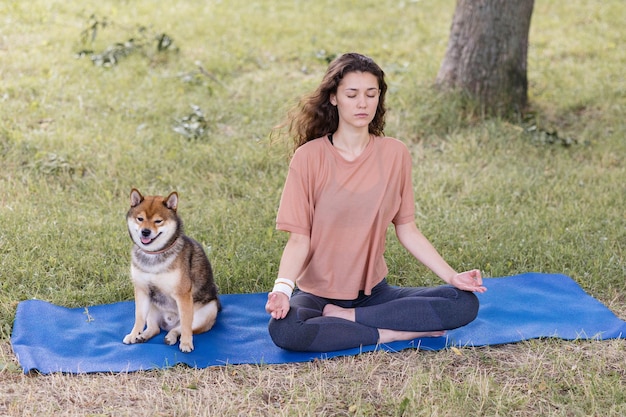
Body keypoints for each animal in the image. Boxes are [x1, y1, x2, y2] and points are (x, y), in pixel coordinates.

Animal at [122, 188, 219, 352]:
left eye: (158, 221)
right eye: (140, 219)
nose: (145, 232)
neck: (154, 254)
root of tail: (169, 322)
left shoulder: (183, 294)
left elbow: (186, 325)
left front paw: (186, 343)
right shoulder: (142, 290)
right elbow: (139, 317)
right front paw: (134, 334)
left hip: (208, 311)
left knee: (178, 328)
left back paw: (172, 337)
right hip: (152, 303)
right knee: (155, 328)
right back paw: (143, 335)